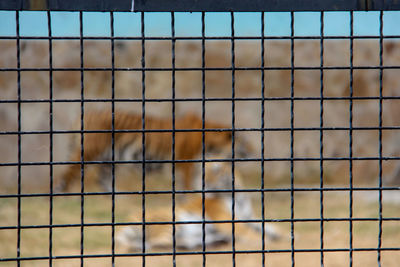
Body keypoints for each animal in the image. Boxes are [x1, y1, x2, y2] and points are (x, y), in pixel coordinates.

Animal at [57, 111, 250, 193]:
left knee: (102, 180)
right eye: (244, 143)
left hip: (108, 160)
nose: (252, 152)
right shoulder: (186, 163)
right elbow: (188, 185)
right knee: (68, 174)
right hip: (89, 152)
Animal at [117, 162, 282, 252]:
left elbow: (269, 227)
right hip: (171, 221)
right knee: (157, 242)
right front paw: (267, 241)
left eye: (216, 170)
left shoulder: (249, 217)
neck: (237, 195)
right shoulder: (227, 220)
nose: (206, 182)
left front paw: (282, 234)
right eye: (203, 173)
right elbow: (250, 233)